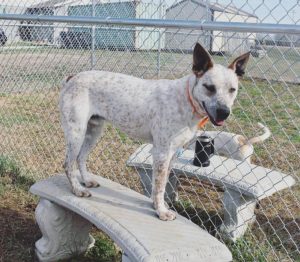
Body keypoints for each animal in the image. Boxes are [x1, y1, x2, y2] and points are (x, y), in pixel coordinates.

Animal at [59, 43, 250, 221]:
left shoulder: (173, 153)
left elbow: (163, 184)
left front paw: (159, 205)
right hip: (77, 132)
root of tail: (73, 76)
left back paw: (86, 181)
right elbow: (158, 186)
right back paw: (77, 189)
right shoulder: (162, 152)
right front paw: (161, 211)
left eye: (232, 89)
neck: (185, 100)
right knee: (68, 164)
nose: (224, 112)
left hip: (93, 131)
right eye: (209, 87)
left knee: (80, 158)